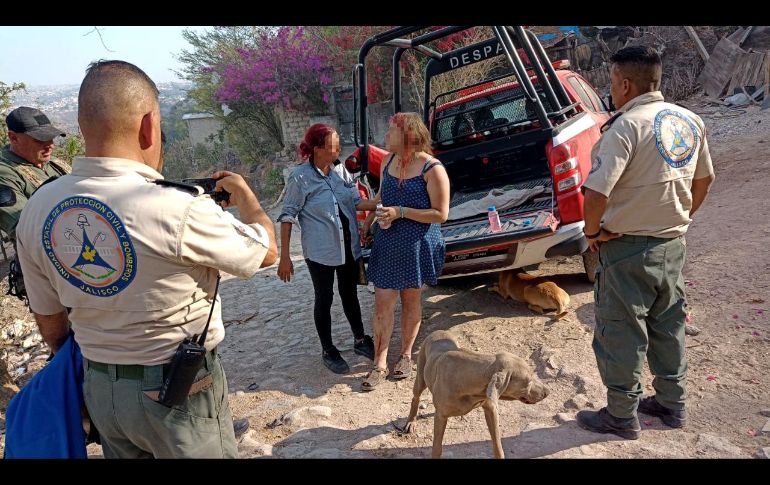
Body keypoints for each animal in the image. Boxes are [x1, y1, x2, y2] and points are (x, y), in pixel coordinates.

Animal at [400, 328, 548, 458]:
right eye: (528, 381)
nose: (548, 391)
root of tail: (437, 331)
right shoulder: (441, 416)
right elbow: (437, 448)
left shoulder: (490, 408)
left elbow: (497, 443)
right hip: (420, 378)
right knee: (415, 398)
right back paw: (411, 422)